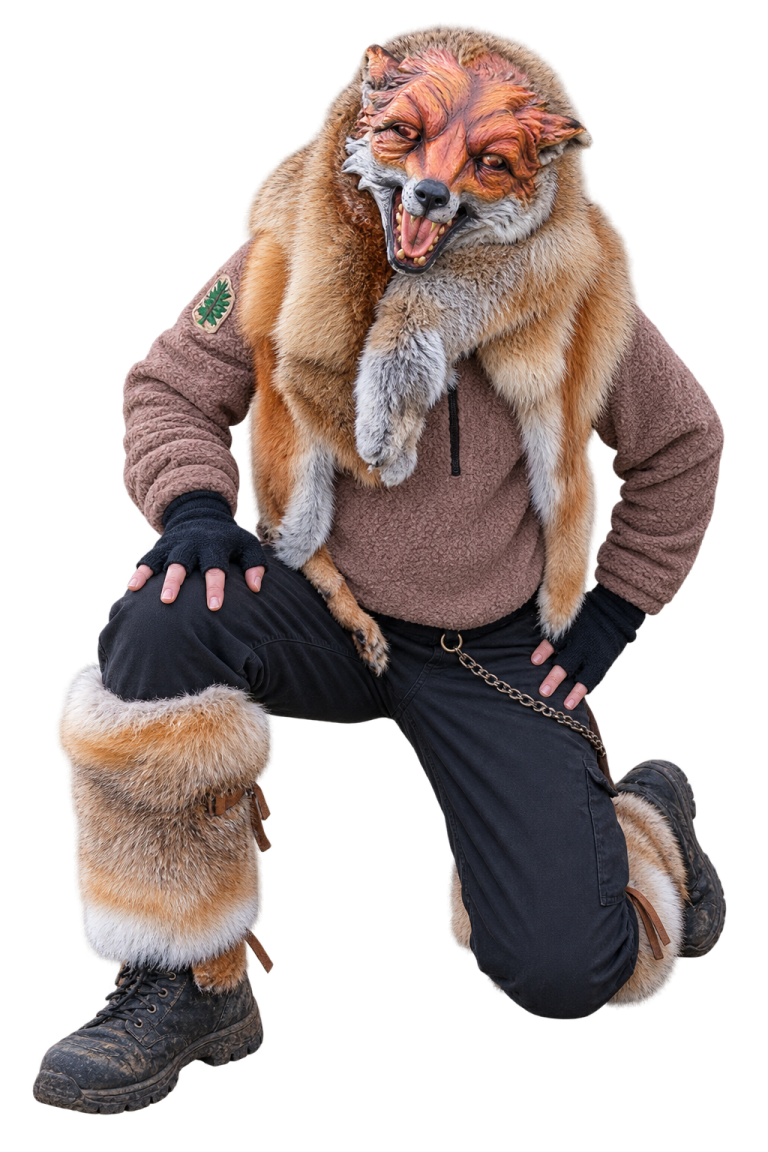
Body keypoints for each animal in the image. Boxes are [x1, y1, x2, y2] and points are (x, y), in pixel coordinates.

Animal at [238, 26, 637, 674]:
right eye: (406, 132)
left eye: (491, 162)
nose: (429, 194)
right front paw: (390, 439)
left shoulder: (557, 248)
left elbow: (431, 303)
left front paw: (392, 407)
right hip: (293, 472)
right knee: (296, 550)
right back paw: (353, 619)